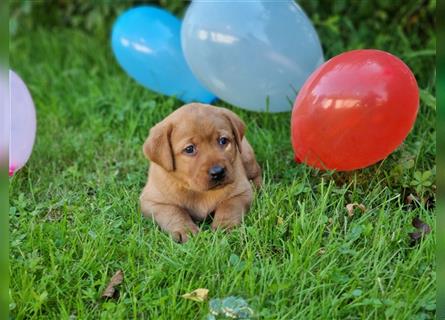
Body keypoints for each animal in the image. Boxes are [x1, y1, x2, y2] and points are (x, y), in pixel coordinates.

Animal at [140, 102, 260, 242]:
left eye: (223, 141)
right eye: (189, 149)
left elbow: (228, 207)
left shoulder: (241, 193)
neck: (198, 191)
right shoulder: (152, 201)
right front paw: (185, 230)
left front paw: (225, 227)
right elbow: (174, 212)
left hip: (246, 155)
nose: (218, 172)